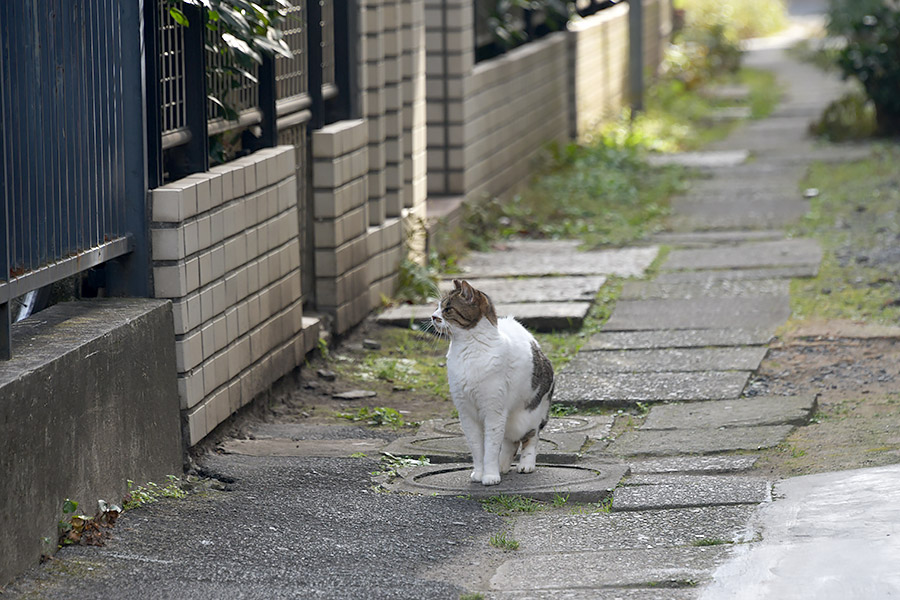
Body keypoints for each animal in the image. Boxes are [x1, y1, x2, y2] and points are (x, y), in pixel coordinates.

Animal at [430, 278, 552, 486]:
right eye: (438, 306)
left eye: (448, 309)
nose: (432, 316)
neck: (467, 351)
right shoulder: (467, 413)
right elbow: (478, 449)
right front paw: (481, 473)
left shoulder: (493, 411)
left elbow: (491, 448)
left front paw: (490, 476)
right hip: (508, 421)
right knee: (510, 441)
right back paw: (502, 466)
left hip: (528, 416)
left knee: (530, 438)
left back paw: (525, 465)